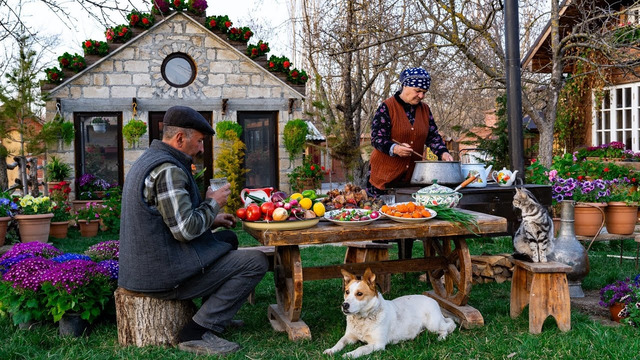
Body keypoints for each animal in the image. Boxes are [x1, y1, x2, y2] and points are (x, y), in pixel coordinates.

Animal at [324, 268, 456, 358]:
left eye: (359, 294)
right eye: (347, 292)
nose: (344, 305)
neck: (363, 319)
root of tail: (433, 300)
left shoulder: (378, 344)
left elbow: (361, 348)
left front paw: (348, 354)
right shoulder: (349, 336)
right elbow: (340, 342)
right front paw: (331, 350)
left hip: (433, 325)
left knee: (449, 326)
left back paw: (441, 338)